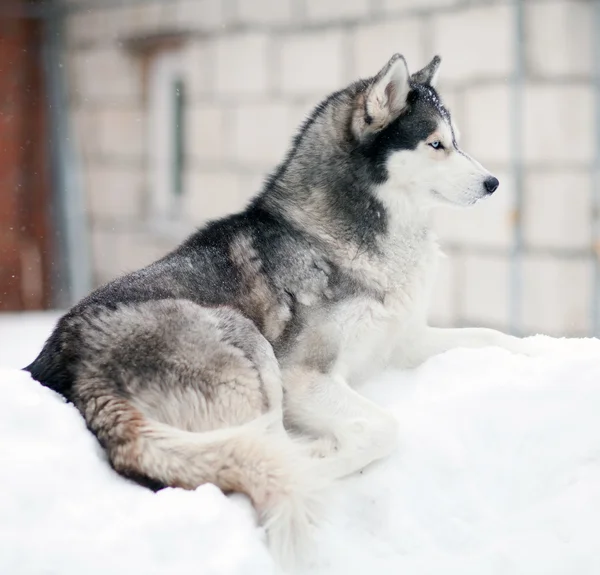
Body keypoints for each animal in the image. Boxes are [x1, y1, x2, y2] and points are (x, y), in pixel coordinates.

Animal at [25, 54, 528, 568]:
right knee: (266, 448)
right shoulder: (301, 375)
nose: (494, 183)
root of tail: (81, 369)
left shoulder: (403, 341)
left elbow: (491, 337)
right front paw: (329, 456)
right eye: (436, 144)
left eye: (456, 141)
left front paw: (535, 353)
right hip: (246, 341)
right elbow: (384, 428)